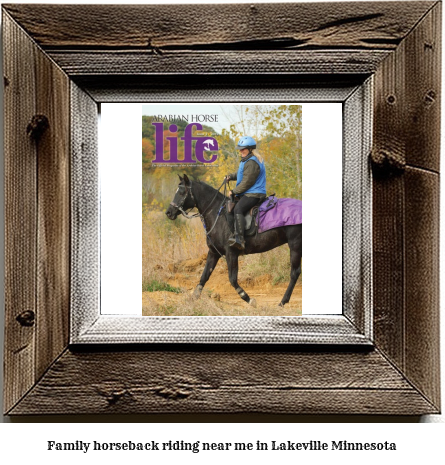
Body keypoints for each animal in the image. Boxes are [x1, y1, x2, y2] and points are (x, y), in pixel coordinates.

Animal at [164, 172, 302, 306]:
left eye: (182, 192)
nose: (169, 212)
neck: (218, 215)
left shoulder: (231, 253)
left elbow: (232, 279)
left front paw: (248, 299)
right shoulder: (213, 253)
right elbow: (204, 276)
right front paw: (194, 297)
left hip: (295, 245)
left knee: (294, 273)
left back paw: (283, 301)